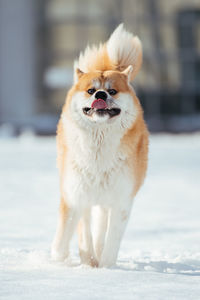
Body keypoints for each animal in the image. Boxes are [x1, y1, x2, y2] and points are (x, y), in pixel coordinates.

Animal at [51, 23, 148, 268]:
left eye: (112, 91)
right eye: (90, 90)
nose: (101, 94)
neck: (98, 148)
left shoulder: (121, 201)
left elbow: (111, 239)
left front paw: (104, 268)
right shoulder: (75, 194)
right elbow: (77, 234)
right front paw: (78, 262)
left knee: (101, 226)